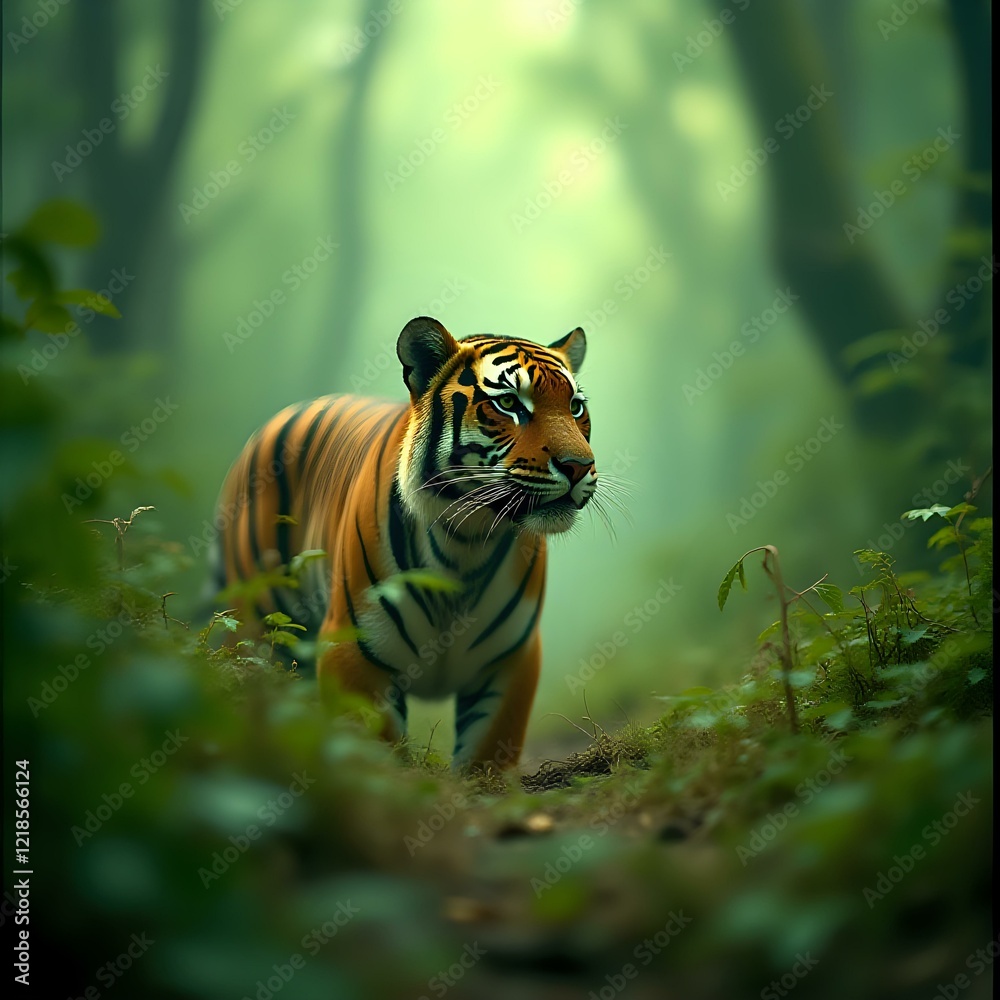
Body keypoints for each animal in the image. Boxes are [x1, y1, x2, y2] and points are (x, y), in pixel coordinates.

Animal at [213, 316, 598, 769]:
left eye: (575, 407)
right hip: (259, 629)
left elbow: (487, 760)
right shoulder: (353, 653)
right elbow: (372, 759)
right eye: (508, 404)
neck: (466, 541)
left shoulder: (511, 661)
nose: (579, 466)